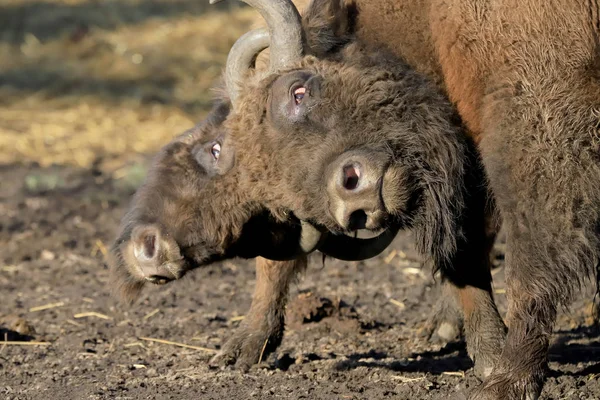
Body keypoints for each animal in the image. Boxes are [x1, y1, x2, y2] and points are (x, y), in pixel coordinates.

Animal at [110, 0, 504, 388]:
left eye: (215, 149)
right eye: (271, 210)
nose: (146, 251)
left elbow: (468, 248)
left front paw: (492, 358)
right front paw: (240, 350)